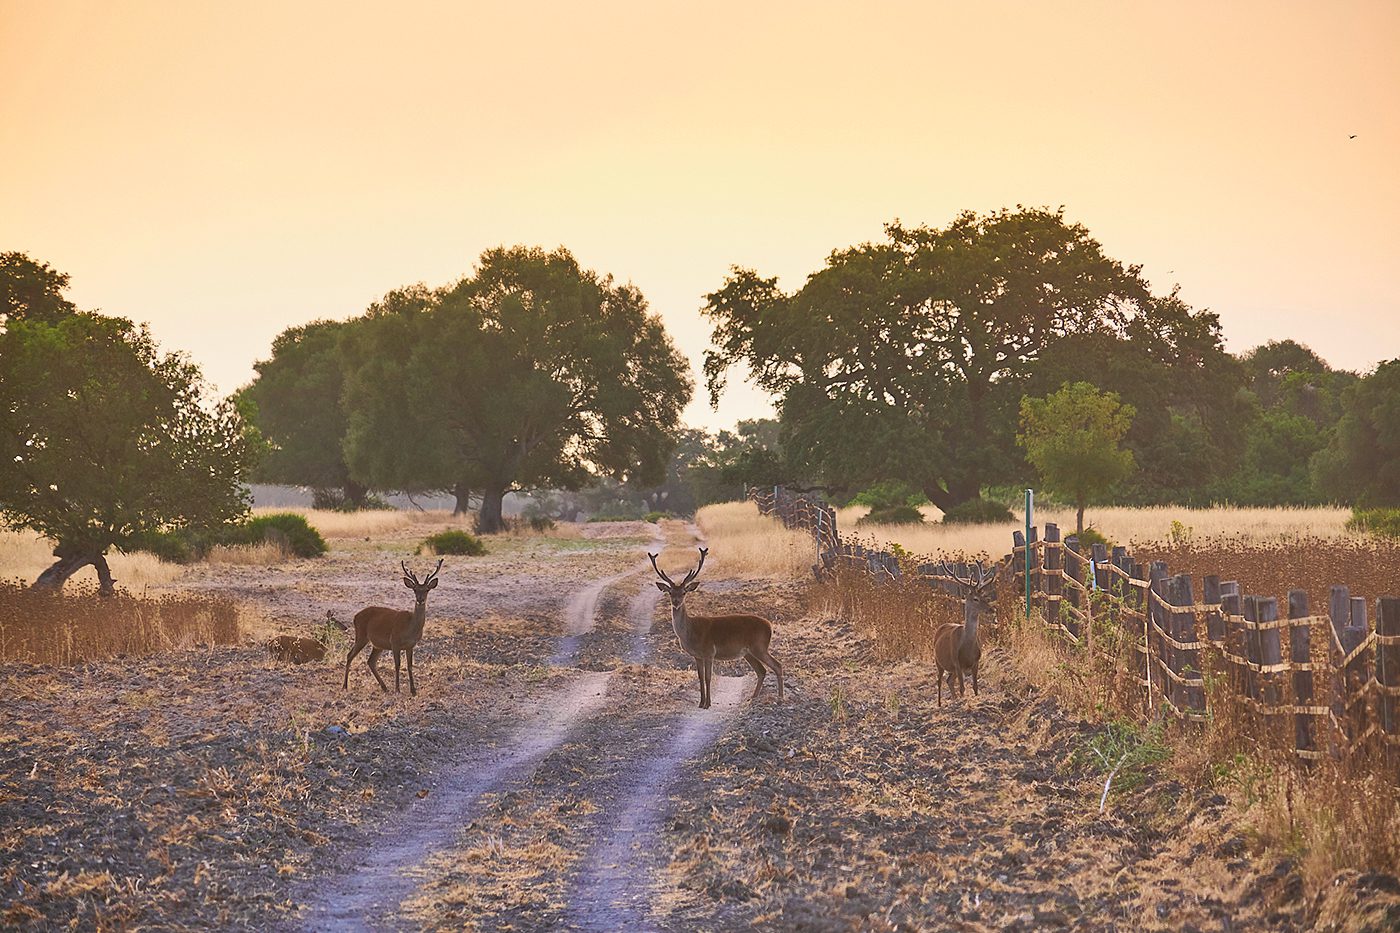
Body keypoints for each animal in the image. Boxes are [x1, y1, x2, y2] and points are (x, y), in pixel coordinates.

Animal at [344, 554, 442, 694]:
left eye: (427, 589)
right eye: (414, 589)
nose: (420, 599)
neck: (410, 628)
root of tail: (355, 616)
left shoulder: (410, 645)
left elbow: (409, 666)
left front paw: (413, 690)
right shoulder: (394, 642)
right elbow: (397, 665)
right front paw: (397, 689)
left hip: (378, 645)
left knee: (371, 661)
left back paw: (384, 687)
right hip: (361, 636)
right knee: (350, 655)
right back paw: (345, 686)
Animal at [649, 546, 784, 706]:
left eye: (684, 592)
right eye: (670, 592)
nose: (676, 602)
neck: (690, 632)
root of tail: (769, 625)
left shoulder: (709, 651)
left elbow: (708, 678)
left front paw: (708, 703)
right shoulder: (697, 656)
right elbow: (700, 678)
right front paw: (701, 703)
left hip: (759, 646)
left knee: (777, 665)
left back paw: (780, 698)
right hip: (748, 652)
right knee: (761, 670)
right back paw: (753, 697)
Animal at [929, 560, 996, 706]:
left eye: (984, 596)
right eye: (975, 599)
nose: (992, 609)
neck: (967, 646)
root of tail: (941, 627)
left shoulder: (976, 661)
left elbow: (975, 686)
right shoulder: (957, 661)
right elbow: (962, 687)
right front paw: (963, 703)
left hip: (952, 668)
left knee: (949, 680)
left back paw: (954, 699)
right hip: (938, 661)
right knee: (939, 681)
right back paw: (940, 704)